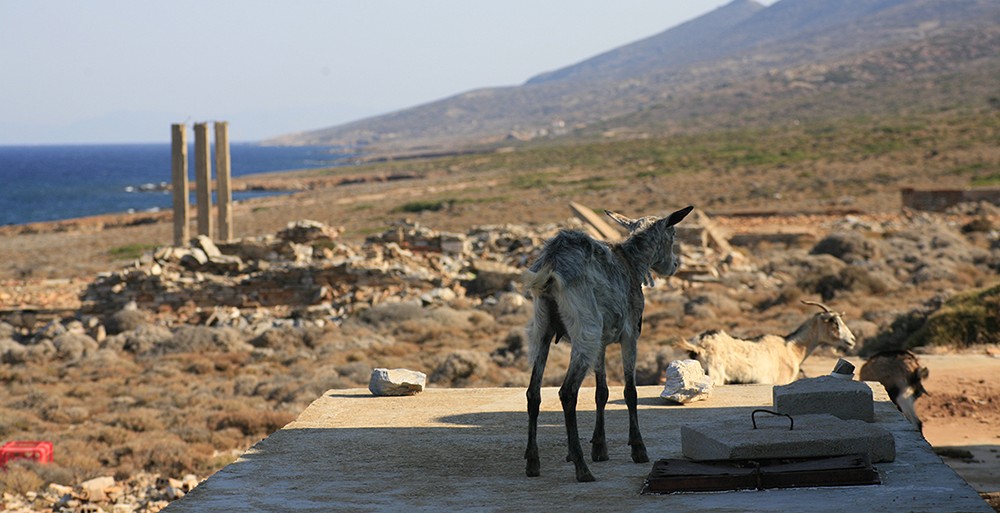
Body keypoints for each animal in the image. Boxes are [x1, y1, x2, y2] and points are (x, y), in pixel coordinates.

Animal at [524, 204, 696, 480]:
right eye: (673, 235)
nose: (674, 265)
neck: (632, 262)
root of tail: (552, 266)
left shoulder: (602, 344)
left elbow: (601, 392)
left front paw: (599, 448)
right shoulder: (630, 334)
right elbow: (629, 391)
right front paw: (638, 448)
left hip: (542, 329)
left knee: (533, 392)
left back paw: (533, 461)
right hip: (586, 329)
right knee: (567, 392)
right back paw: (581, 467)